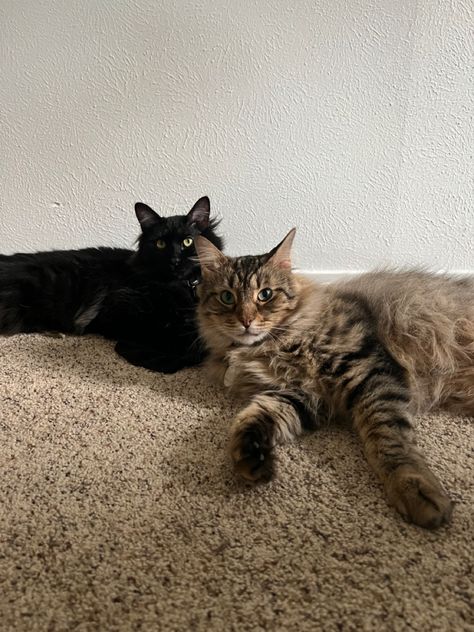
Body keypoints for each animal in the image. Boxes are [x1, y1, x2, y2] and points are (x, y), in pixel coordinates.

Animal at [0, 198, 223, 372]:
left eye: (187, 241)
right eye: (160, 244)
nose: (175, 261)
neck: (183, 286)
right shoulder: (119, 311)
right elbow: (187, 343)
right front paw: (137, 353)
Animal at [193, 231, 474, 528]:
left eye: (265, 295)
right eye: (227, 297)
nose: (245, 321)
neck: (269, 348)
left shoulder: (369, 370)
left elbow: (388, 438)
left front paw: (413, 488)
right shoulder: (301, 396)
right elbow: (252, 417)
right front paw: (251, 458)